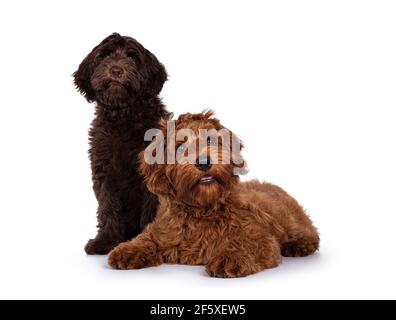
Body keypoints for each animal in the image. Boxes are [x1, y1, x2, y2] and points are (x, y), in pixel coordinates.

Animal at [73, 33, 168, 255]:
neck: (123, 116)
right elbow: (108, 206)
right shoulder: (104, 170)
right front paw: (105, 241)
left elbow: (152, 207)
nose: (116, 70)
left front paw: (145, 241)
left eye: (132, 57)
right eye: (104, 55)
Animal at [107, 111, 318, 276]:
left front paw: (231, 257)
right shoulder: (162, 230)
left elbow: (249, 244)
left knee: (309, 231)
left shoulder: (261, 238)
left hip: (289, 219)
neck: (201, 210)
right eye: (180, 147)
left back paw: (299, 244)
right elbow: (146, 238)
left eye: (212, 140)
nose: (203, 162)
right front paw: (128, 250)